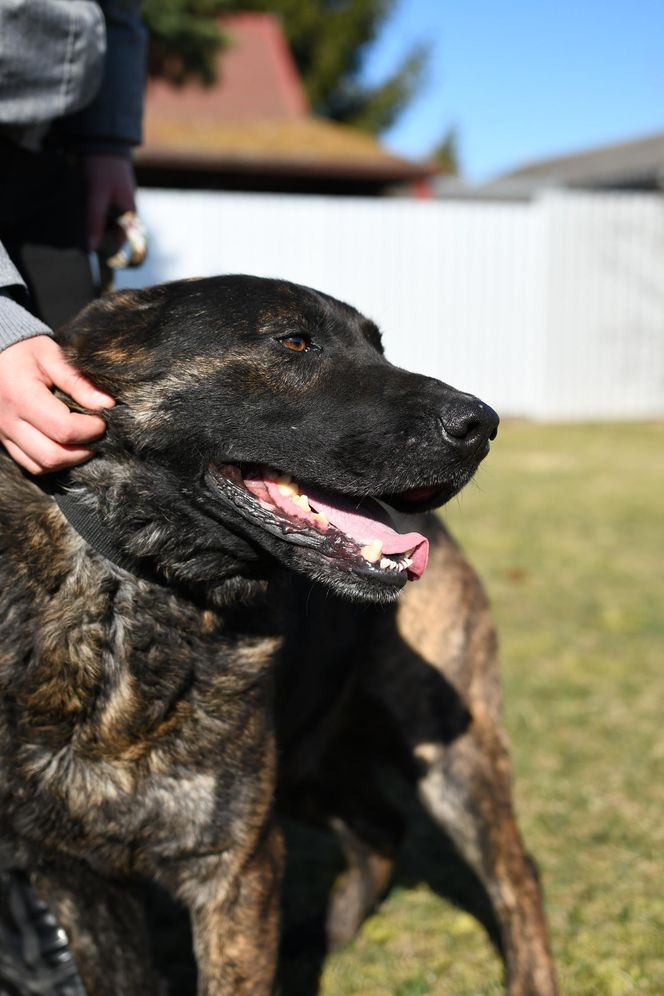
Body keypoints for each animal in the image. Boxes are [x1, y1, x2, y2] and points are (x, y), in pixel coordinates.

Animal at [0, 274, 556, 996]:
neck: (140, 586)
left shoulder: (237, 867)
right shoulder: (73, 874)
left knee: (516, 874)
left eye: (379, 349)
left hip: (452, 759)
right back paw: (328, 935)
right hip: (305, 768)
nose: (482, 425)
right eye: (294, 342)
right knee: (380, 826)